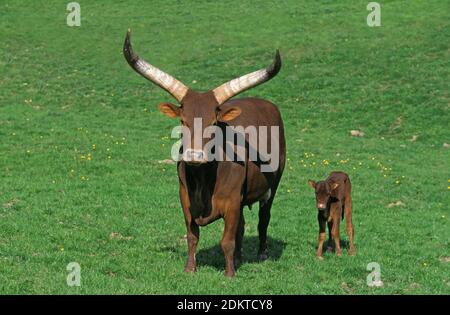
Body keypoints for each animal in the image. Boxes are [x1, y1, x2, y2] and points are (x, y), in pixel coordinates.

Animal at [123, 29, 284, 276]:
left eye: (213, 122)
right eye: (183, 120)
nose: (194, 156)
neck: (203, 180)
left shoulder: (232, 202)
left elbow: (227, 240)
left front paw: (229, 274)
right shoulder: (185, 199)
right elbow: (192, 236)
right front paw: (190, 268)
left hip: (272, 186)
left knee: (263, 218)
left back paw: (261, 253)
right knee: (242, 226)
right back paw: (239, 257)